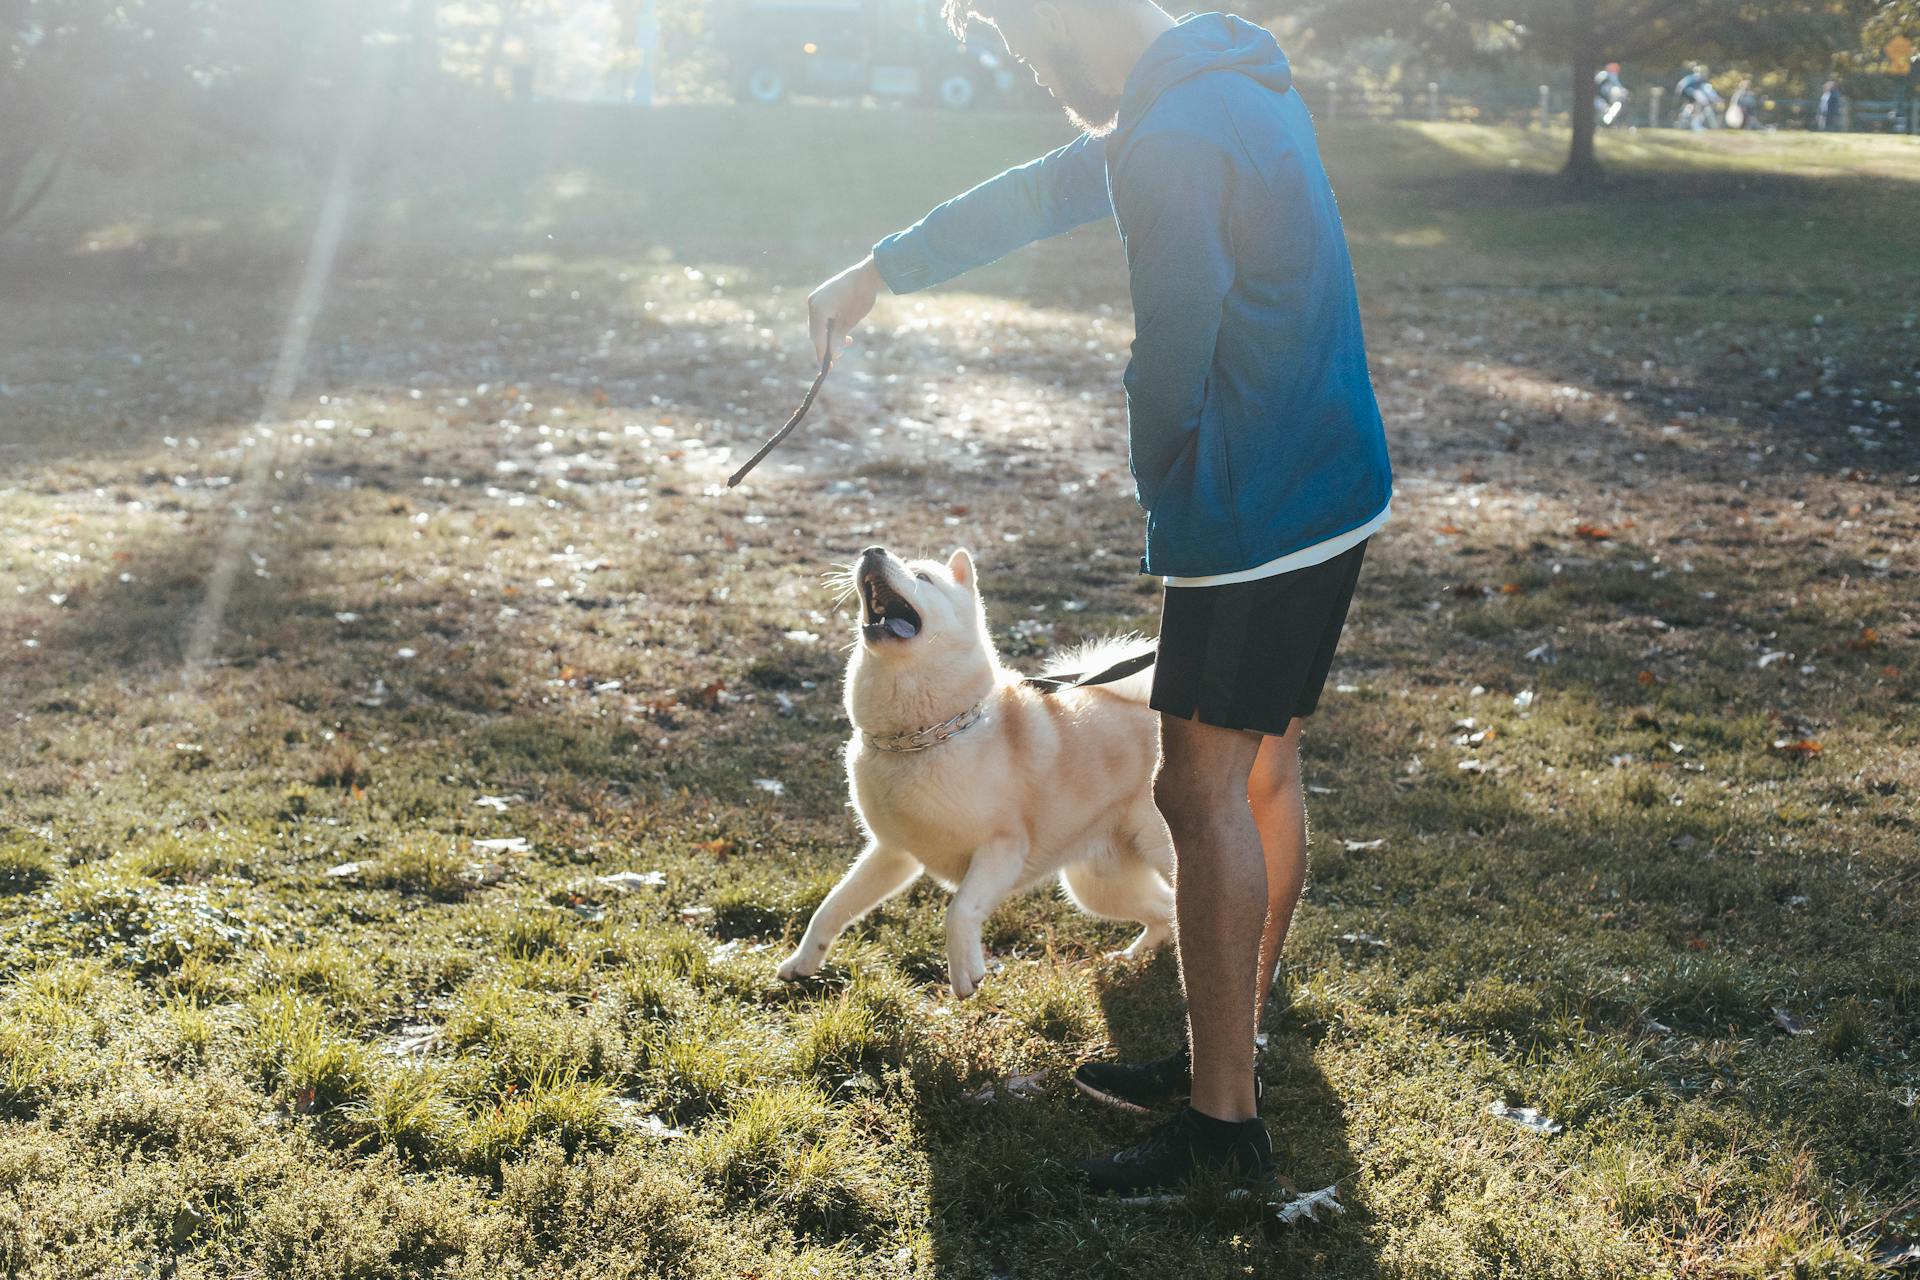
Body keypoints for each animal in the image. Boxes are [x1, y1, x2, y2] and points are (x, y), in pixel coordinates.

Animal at [775, 545, 1167, 997]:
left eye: (923, 577)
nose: (872, 552)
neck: (922, 737)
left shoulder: (1003, 847)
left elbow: (960, 908)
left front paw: (965, 970)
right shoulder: (893, 853)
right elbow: (832, 906)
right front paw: (803, 962)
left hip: (1158, 854)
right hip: (1098, 886)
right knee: (1165, 911)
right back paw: (1136, 957)